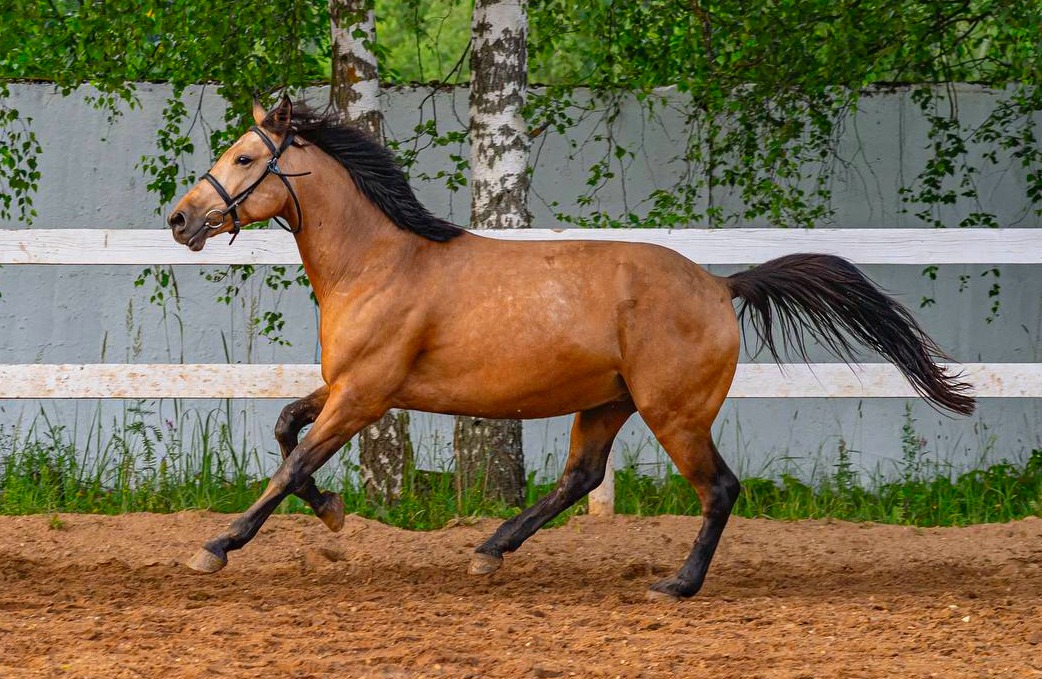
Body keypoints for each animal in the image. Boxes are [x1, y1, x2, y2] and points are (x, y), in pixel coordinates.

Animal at [167, 96, 975, 600]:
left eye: (245, 159)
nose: (181, 218)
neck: (380, 262)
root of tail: (720, 285)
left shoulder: (365, 394)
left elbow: (293, 461)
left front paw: (217, 546)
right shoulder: (348, 387)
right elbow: (286, 432)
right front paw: (334, 513)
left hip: (673, 412)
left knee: (718, 488)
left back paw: (675, 585)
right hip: (608, 402)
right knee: (581, 476)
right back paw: (490, 551)